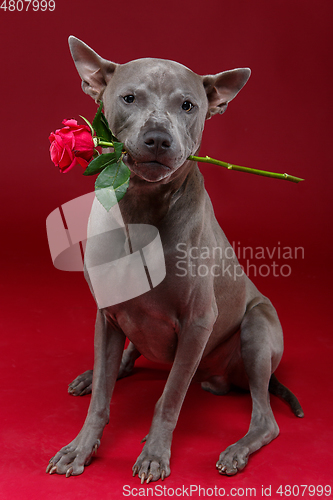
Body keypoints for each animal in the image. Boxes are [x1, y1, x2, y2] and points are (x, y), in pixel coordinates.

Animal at [45, 37, 302, 482]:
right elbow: (102, 400)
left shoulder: (198, 322)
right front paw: (80, 448)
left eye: (188, 105)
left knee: (264, 417)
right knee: (121, 361)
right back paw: (93, 376)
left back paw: (236, 450)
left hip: (256, 329)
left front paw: (154, 454)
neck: (142, 209)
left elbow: (169, 398)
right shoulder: (107, 313)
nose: (158, 138)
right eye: (129, 98)